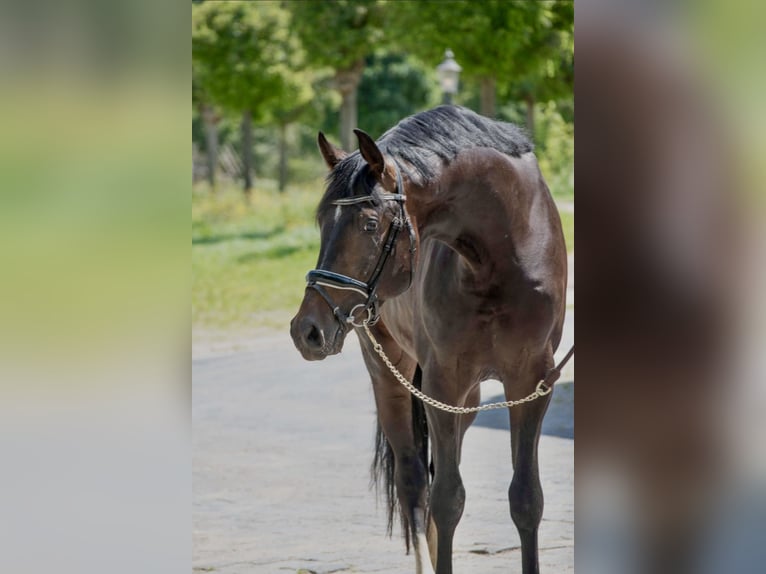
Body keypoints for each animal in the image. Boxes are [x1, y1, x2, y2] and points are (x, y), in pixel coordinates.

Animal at [292, 104, 568, 574]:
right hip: (390, 374)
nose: (306, 330)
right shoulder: (443, 382)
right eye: (321, 222)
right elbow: (446, 499)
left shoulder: (532, 382)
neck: (501, 257)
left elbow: (526, 498)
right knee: (414, 481)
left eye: (370, 223)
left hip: (469, 397)